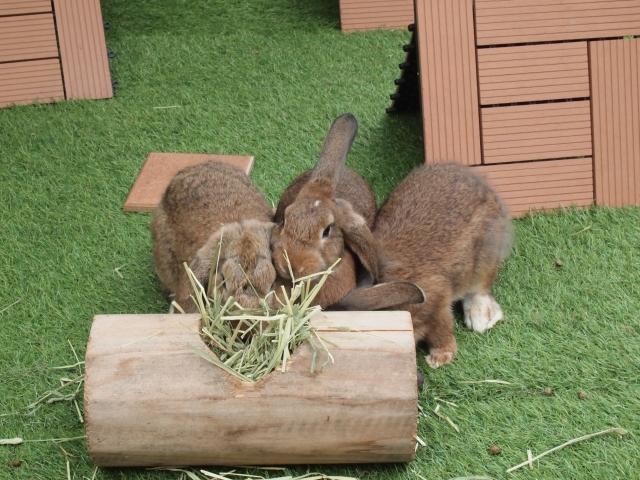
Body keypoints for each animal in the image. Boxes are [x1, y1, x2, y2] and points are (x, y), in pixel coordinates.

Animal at [332, 163, 512, 370]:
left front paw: (438, 358)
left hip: (485, 259)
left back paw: (480, 318)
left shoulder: (436, 306)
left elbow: (441, 332)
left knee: (480, 288)